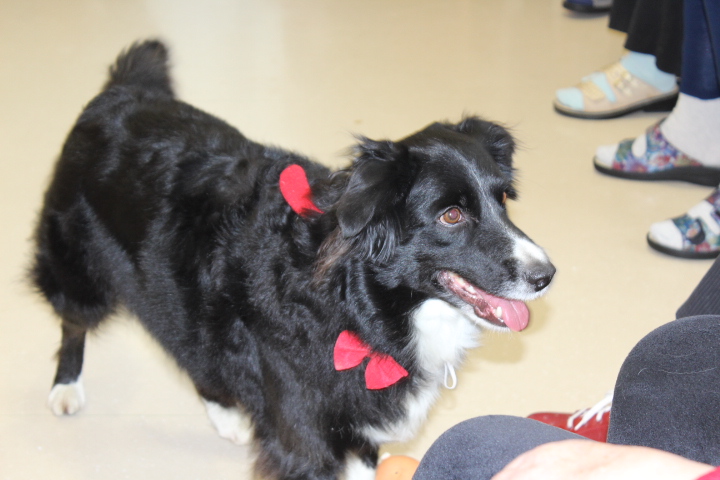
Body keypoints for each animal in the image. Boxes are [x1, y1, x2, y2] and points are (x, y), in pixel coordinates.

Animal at [29, 42, 556, 480]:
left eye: (502, 199)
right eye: (451, 215)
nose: (546, 276)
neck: (358, 303)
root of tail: (120, 91)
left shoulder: (357, 424)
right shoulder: (303, 436)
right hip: (79, 262)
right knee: (74, 321)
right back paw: (66, 387)